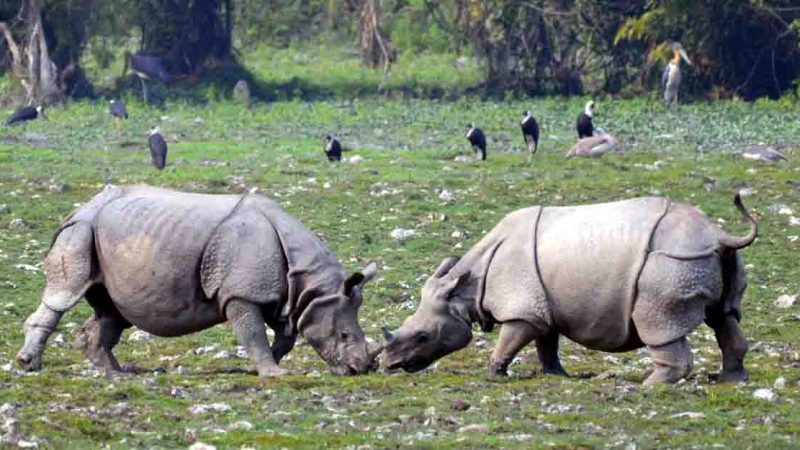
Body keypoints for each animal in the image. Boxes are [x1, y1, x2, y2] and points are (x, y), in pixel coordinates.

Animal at [17, 185, 380, 377]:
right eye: (344, 335)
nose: (361, 369)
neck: (309, 282)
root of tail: (78, 209)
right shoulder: (242, 294)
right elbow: (253, 333)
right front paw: (274, 373)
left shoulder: (283, 297)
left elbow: (285, 337)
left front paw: (264, 369)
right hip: (80, 232)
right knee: (64, 295)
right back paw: (29, 364)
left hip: (102, 237)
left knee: (112, 311)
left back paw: (117, 373)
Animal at [383, 195, 757, 385]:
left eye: (422, 336)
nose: (390, 364)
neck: (466, 290)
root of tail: (718, 234)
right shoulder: (539, 307)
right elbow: (546, 343)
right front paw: (556, 375)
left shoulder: (522, 309)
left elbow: (509, 341)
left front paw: (494, 375)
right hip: (707, 259)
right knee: (724, 316)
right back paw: (730, 380)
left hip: (671, 263)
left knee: (659, 322)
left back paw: (648, 385)